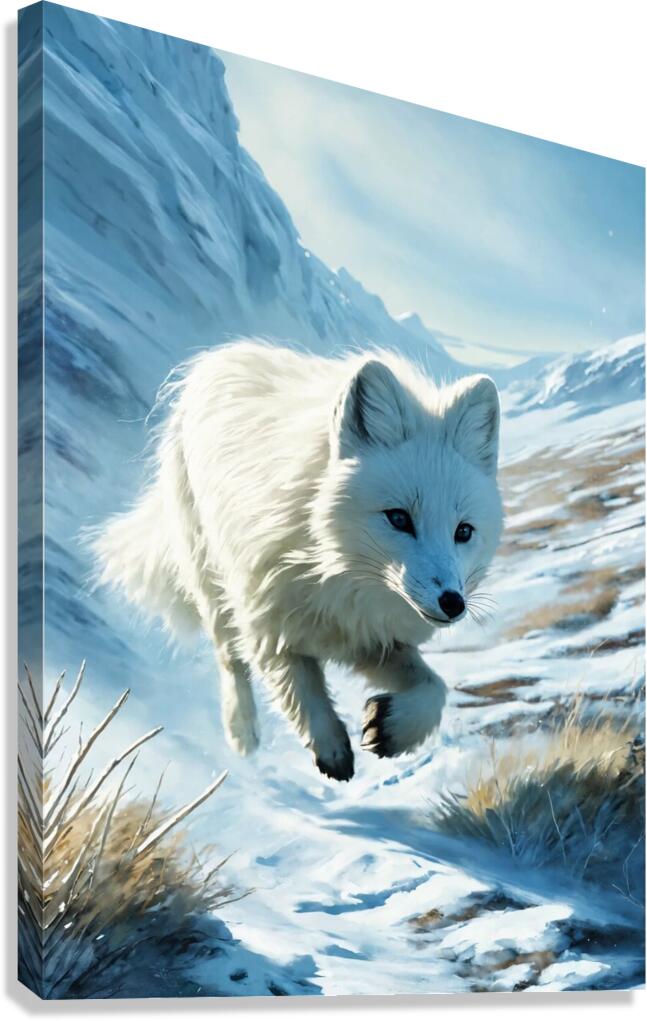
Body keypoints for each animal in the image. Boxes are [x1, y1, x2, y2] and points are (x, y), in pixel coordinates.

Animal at [93, 341, 503, 781]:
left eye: (463, 531)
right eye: (398, 518)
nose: (453, 603)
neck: (333, 572)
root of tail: (222, 355)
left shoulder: (372, 638)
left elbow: (434, 689)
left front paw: (392, 729)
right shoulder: (267, 621)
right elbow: (300, 692)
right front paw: (331, 749)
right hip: (210, 577)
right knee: (228, 656)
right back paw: (242, 731)